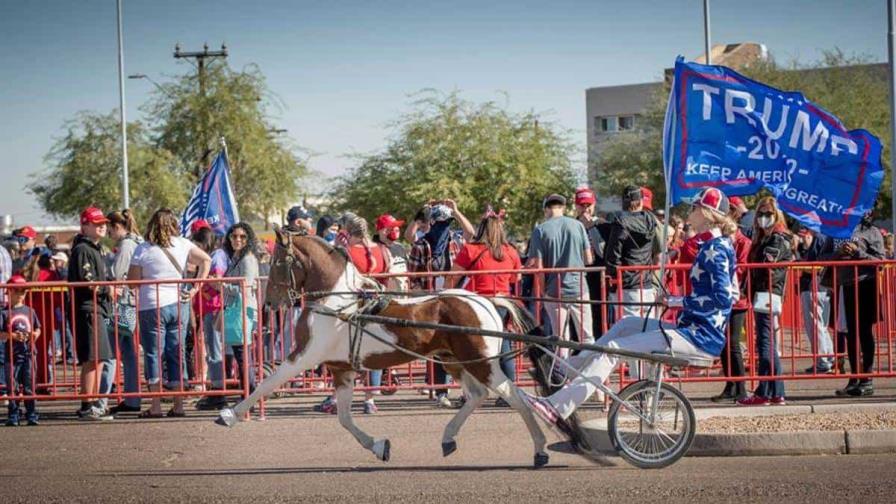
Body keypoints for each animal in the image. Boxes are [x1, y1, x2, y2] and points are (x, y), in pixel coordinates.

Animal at [218, 228, 552, 468]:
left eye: (275, 261)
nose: (269, 304)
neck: (335, 302)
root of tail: (486, 300)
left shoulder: (302, 357)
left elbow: (266, 383)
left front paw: (228, 414)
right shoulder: (342, 370)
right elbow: (344, 418)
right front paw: (379, 447)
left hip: (482, 363)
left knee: (516, 397)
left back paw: (539, 450)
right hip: (453, 361)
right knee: (477, 395)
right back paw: (448, 438)